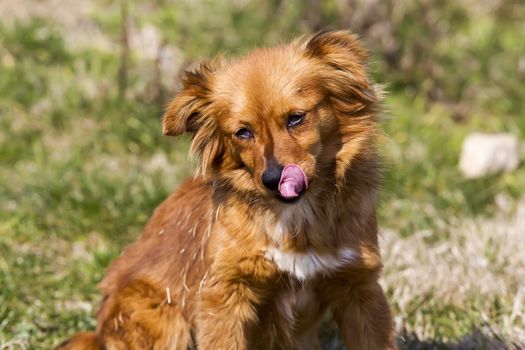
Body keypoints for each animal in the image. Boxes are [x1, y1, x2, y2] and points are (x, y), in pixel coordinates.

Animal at [60, 31, 392, 348]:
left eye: (296, 118)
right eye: (243, 132)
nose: (273, 179)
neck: (295, 219)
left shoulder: (360, 288)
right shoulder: (223, 296)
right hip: (163, 317)